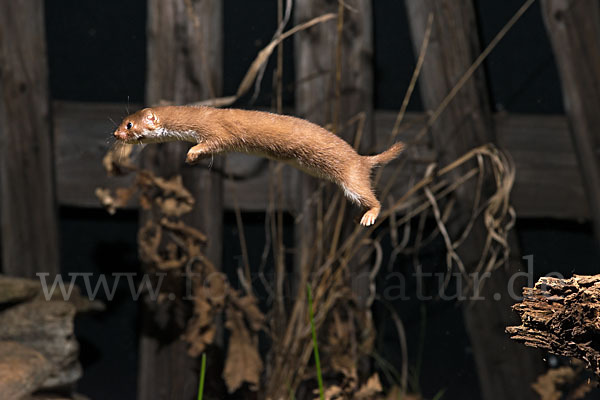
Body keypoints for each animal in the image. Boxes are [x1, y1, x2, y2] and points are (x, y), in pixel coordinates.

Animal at [112, 105, 404, 225]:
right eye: (123, 120)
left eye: (129, 125)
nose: (115, 134)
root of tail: (361, 158)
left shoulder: (218, 132)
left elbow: (213, 142)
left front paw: (192, 154)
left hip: (351, 179)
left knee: (372, 198)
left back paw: (369, 216)